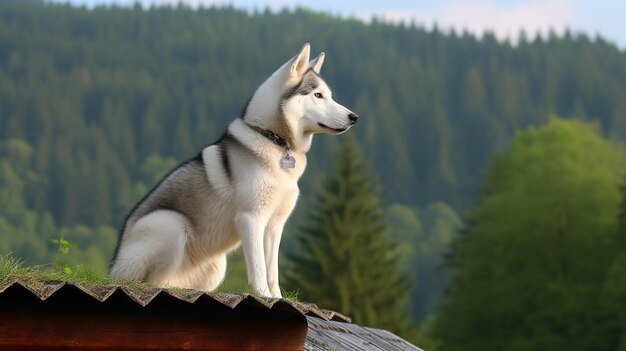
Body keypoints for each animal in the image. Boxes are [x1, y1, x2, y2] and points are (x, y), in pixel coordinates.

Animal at [109, 43, 358, 296]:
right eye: (318, 95)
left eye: (329, 95)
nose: (354, 117)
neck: (273, 140)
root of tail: (113, 268)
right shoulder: (251, 219)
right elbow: (259, 270)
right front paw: (263, 296)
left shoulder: (275, 225)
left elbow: (273, 272)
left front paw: (277, 297)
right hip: (171, 225)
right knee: (151, 280)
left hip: (217, 265)